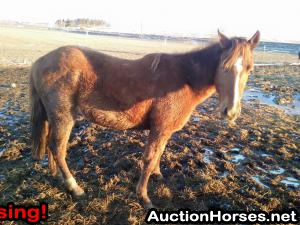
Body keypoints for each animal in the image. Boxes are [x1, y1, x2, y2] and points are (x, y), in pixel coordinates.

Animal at [31, 30, 260, 208]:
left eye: (250, 69)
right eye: (224, 67)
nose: (230, 111)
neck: (184, 79)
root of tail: (41, 61)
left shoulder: (164, 131)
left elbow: (159, 153)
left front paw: (157, 174)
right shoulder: (159, 129)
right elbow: (149, 159)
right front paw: (144, 197)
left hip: (54, 117)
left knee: (51, 145)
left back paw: (56, 176)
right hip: (63, 116)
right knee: (58, 148)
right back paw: (74, 186)